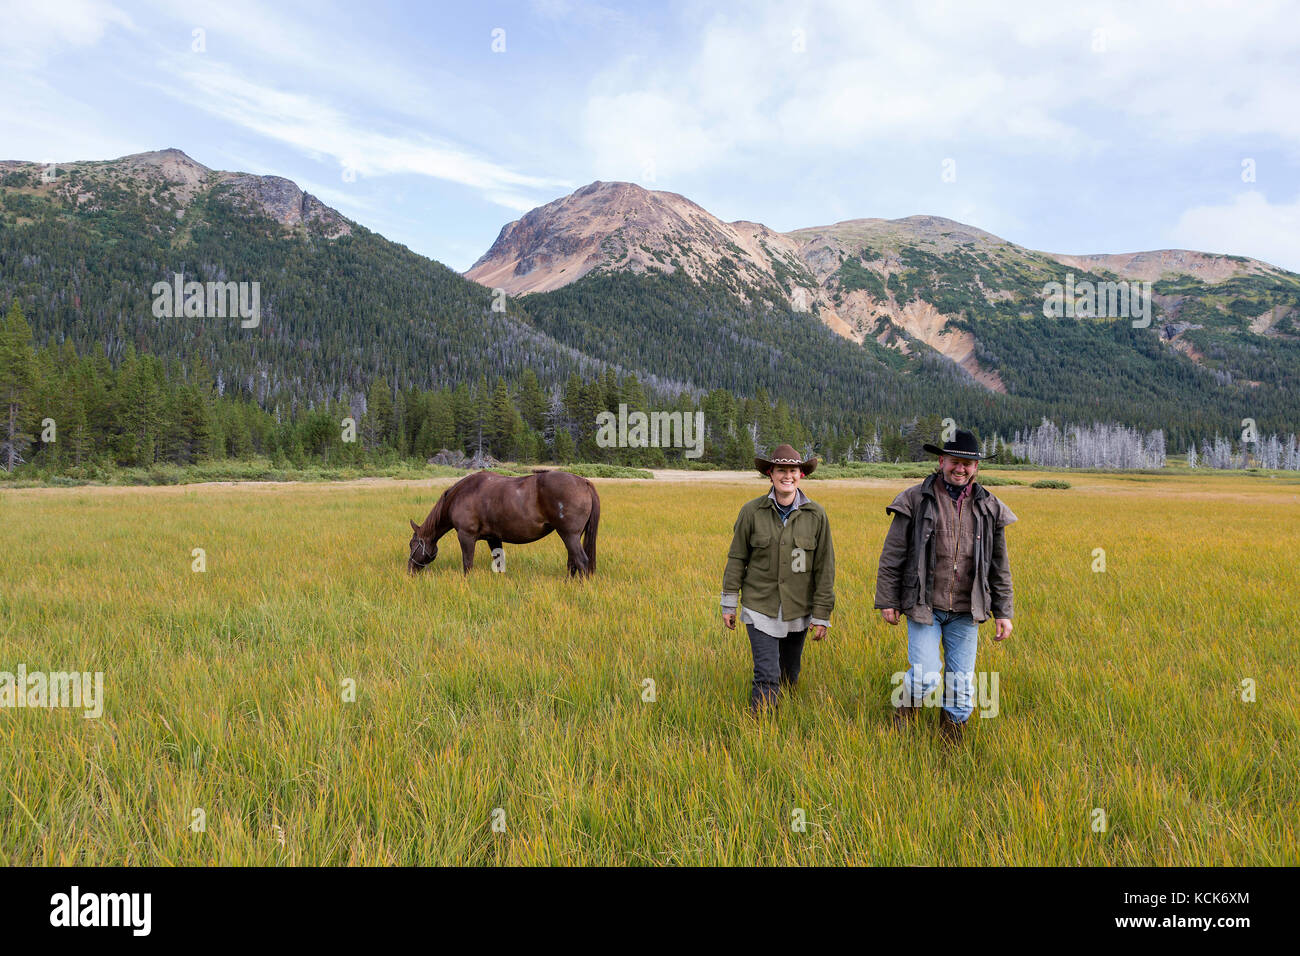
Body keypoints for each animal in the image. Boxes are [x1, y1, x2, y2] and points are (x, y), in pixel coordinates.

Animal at [405, 468, 598, 574]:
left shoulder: (466, 536)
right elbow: (499, 563)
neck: (462, 494)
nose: (410, 570)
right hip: (572, 536)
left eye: (412, 544)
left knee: (581, 561)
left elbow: (467, 564)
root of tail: (584, 482)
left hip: (569, 535)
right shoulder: (493, 539)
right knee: (573, 562)